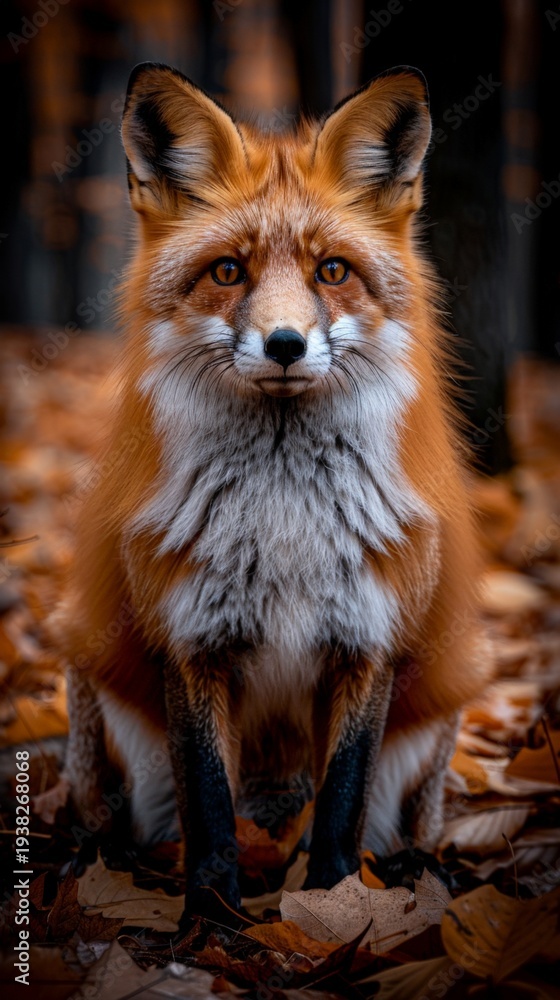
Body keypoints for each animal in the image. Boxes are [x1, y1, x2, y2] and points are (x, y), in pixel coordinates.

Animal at [38, 62, 493, 915]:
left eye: (331, 271)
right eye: (228, 271)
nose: (285, 344)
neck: (285, 523)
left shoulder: (368, 641)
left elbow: (341, 805)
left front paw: (333, 907)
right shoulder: (190, 639)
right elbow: (211, 810)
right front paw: (210, 922)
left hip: (443, 706)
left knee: (402, 827)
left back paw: (420, 873)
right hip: (90, 676)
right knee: (112, 827)